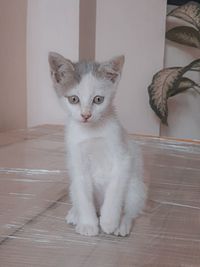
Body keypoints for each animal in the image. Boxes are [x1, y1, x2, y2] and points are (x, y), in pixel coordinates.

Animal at [48, 52, 145, 237]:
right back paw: (75, 213)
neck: (91, 132)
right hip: (73, 185)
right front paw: (87, 224)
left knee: (131, 209)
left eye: (98, 99)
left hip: (135, 186)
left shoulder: (123, 157)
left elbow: (115, 190)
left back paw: (122, 223)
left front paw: (109, 221)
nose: (86, 115)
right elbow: (83, 195)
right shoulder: (77, 161)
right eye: (73, 99)